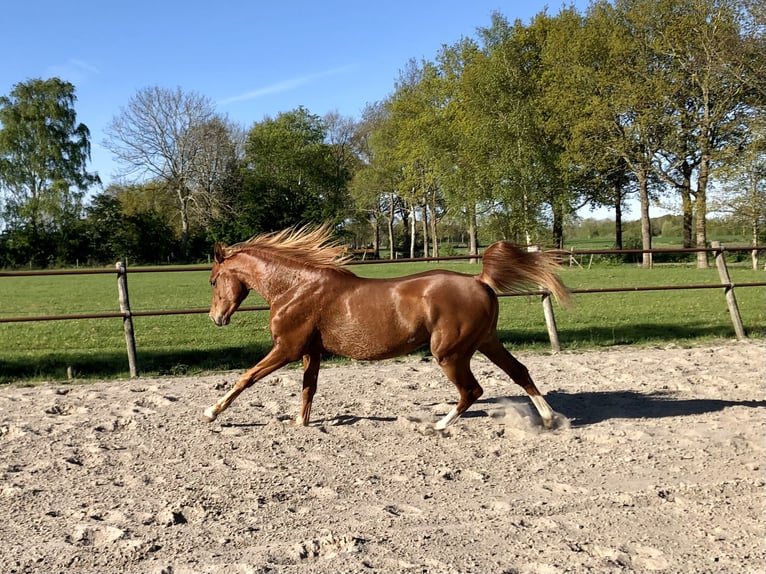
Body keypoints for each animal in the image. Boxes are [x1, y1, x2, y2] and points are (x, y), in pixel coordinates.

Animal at [204, 227, 568, 430]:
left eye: (212, 281)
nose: (216, 318)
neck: (295, 288)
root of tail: (480, 281)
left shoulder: (287, 349)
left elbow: (246, 378)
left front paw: (211, 412)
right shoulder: (310, 352)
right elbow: (308, 389)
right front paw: (300, 422)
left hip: (450, 353)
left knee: (472, 390)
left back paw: (438, 425)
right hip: (485, 341)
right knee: (519, 372)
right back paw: (551, 419)